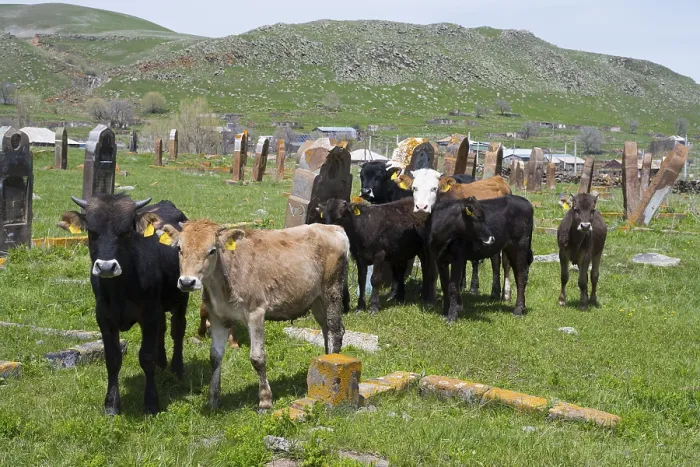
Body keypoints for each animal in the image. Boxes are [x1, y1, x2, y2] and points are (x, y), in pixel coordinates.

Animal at [57, 194, 189, 415]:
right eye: (92, 232)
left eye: (126, 233)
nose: (106, 266)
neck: (120, 289)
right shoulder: (104, 318)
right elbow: (112, 359)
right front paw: (111, 404)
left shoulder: (149, 315)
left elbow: (146, 357)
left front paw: (151, 402)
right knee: (162, 330)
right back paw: (162, 364)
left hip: (182, 296)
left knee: (177, 330)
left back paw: (177, 369)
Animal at [157, 220, 348, 410]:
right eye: (179, 248)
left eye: (212, 250)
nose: (187, 282)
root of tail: (331, 227)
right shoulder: (217, 317)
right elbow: (215, 357)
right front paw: (213, 400)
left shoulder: (256, 313)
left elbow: (257, 358)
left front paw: (265, 401)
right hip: (316, 300)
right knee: (326, 329)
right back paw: (323, 361)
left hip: (332, 290)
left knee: (335, 330)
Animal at [396, 169, 512, 298]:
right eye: (414, 188)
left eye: (434, 188)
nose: (421, 207)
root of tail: (498, 179)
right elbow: (431, 268)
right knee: (494, 259)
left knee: (504, 263)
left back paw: (504, 293)